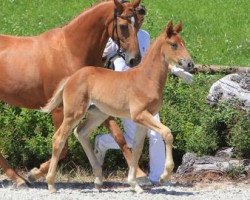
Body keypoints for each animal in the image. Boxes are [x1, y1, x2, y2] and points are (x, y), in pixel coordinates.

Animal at [0, 0, 143, 188]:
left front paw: (140, 174)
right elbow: (62, 146)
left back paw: (17, 177)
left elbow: (119, 136)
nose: (135, 59)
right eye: (123, 26)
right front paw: (35, 174)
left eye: (138, 23)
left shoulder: (97, 106)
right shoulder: (60, 109)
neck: (70, 51)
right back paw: (18, 178)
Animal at [41, 20, 193, 194]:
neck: (147, 79)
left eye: (184, 43)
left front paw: (135, 184)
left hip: (97, 114)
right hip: (74, 113)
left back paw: (98, 180)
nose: (190, 64)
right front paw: (164, 175)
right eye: (174, 45)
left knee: (81, 133)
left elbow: (137, 148)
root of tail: (71, 77)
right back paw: (51, 184)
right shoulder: (140, 115)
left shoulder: (142, 120)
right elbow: (167, 134)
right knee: (59, 138)